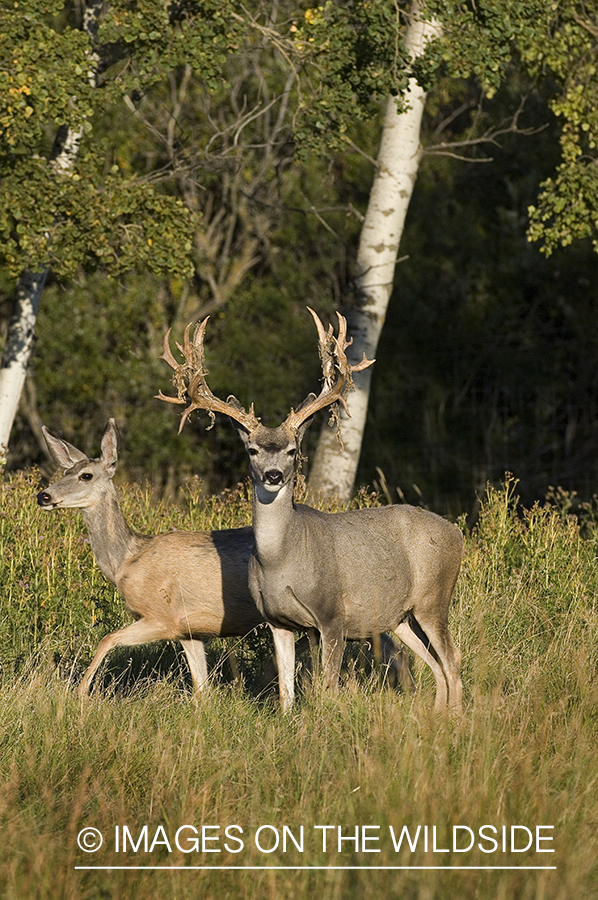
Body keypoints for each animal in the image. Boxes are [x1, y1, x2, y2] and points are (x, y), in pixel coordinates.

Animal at [37, 419, 407, 699]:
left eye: (86, 475)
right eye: (63, 470)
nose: (44, 495)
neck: (127, 560)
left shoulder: (162, 617)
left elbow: (107, 639)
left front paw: (79, 694)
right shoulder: (188, 630)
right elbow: (202, 689)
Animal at [159, 309, 463, 714]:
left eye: (292, 450)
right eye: (252, 450)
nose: (273, 475)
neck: (281, 561)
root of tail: (457, 533)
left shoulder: (332, 616)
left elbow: (328, 687)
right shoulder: (279, 622)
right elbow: (286, 689)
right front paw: (289, 720)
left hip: (434, 597)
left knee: (452, 659)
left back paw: (455, 717)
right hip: (399, 615)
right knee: (433, 663)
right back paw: (437, 717)